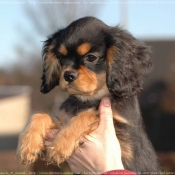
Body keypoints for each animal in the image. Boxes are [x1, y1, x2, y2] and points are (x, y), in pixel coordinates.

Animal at [17, 17, 161, 173]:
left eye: (91, 57)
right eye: (61, 57)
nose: (68, 75)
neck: (87, 99)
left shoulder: (124, 132)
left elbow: (89, 114)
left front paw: (60, 146)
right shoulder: (63, 121)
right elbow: (39, 115)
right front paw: (29, 145)